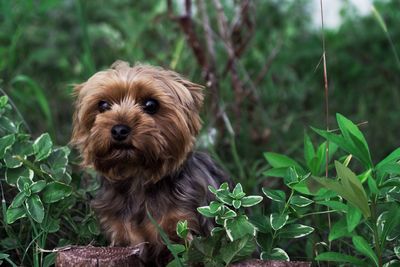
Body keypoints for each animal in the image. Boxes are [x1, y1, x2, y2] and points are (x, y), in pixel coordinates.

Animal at [70, 61, 230, 266]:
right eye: (103, 105)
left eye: (151, 105)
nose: (119, 129)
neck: (138, 175)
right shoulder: (122, 235)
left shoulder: (186, 227)